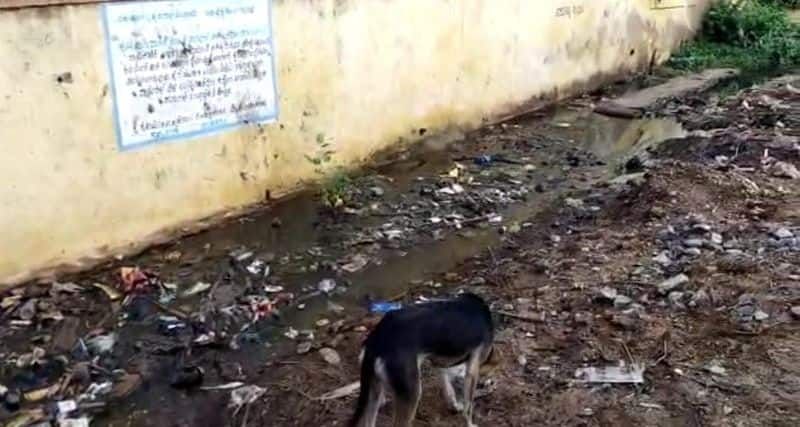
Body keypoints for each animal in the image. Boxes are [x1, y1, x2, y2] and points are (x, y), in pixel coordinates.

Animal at [352, 294, 500, 427]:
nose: (492, 383)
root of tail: (378, 338)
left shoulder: (440, 361)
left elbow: (447, 385)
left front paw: (454, 404)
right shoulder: (472, 370)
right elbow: (468, 405)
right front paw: (469, 423)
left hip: (373, 391)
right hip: (411, 394)